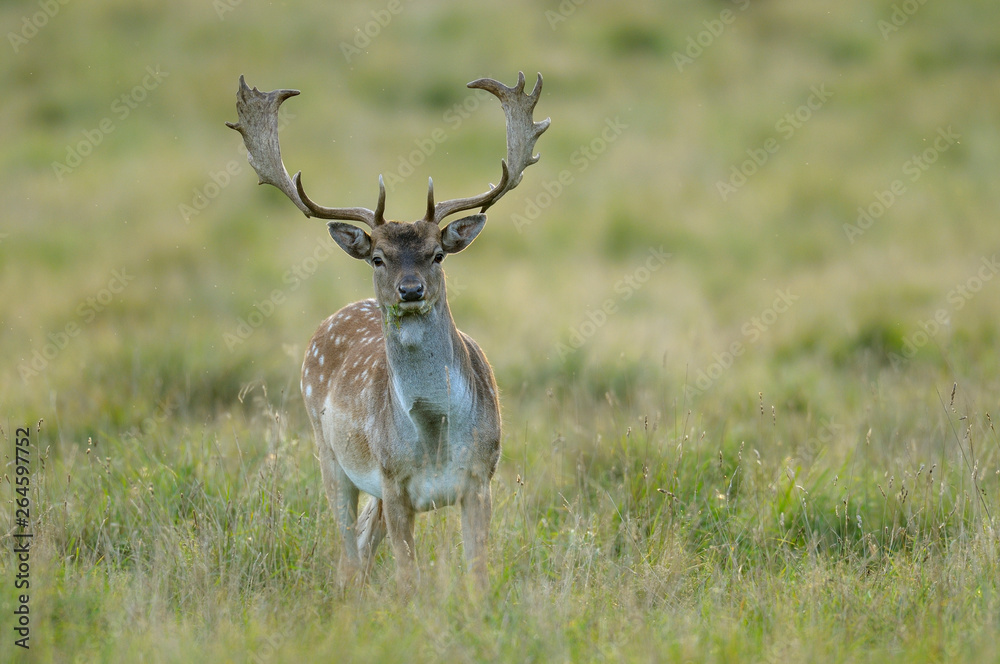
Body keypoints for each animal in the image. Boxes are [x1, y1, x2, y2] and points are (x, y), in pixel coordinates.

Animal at [227, 72, 549, 590]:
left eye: (438, 253)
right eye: (378, 258)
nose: (410, 289)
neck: (435, 435)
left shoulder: (480, 478)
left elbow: (477, 571)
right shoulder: (392, 482)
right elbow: (407, 575)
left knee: (359, 547)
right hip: (329, 453)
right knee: (348, 548)